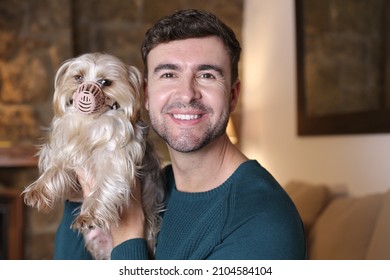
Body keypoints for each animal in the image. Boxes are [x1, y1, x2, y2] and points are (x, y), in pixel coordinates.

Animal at [22, 52, 166, 258]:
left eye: (105, 82)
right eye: (78, 77)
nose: (85, 92)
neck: (91, 122)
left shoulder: (115, 161)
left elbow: (105, 186)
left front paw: (89, 215)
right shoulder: (67, 151)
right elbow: (54, 169)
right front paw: (37, 190)